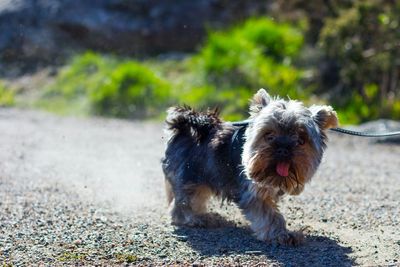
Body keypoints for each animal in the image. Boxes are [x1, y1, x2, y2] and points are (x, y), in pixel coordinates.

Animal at [161, 89, 340, 246]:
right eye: (269, 135)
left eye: (301, 140)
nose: (283, 148)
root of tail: (182, 128)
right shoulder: (253, 193)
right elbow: (270, 216)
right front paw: (283, 235)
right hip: (188, 177)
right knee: (184, 204)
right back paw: (199, 219)